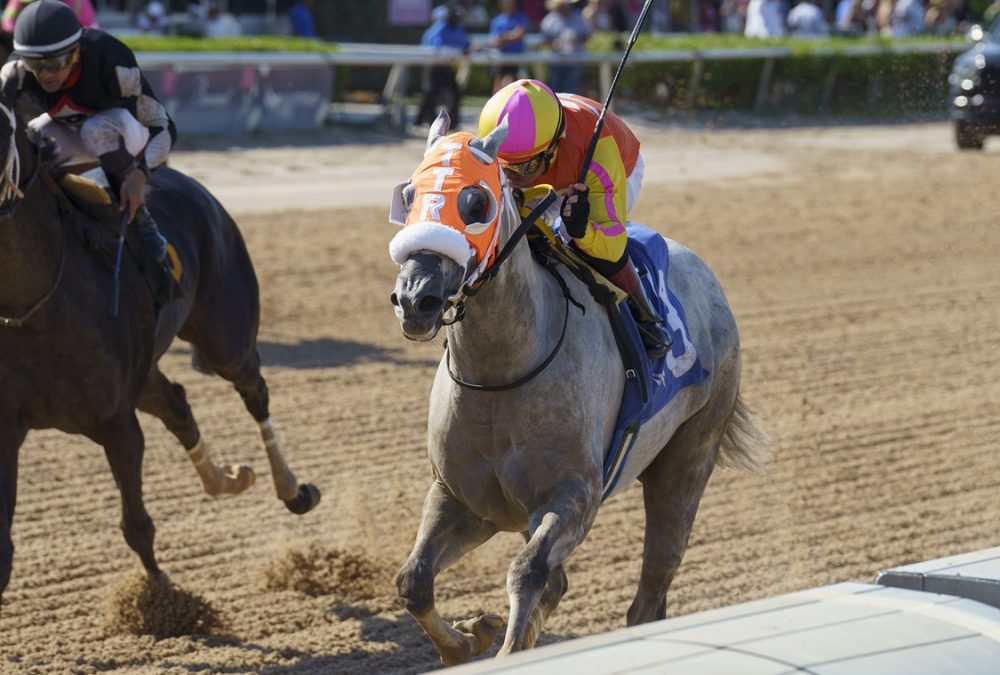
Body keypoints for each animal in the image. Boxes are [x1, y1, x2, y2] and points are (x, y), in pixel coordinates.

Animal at [0, 93, 318, 608]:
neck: (32, 302)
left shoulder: (116, 424)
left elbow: (137, 525)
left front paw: (164, 600)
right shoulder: (9, 425)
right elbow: (4, 553)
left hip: (225, 336)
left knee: (253, 390)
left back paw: (291, 489)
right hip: (145, 368)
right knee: (177, 404)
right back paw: (228, 478)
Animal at [390, 113, 764, 668]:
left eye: (476, 204)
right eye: (409, 194)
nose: (416, 299)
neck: (503, 373)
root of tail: (705, 274)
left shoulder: (576, 497)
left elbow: (527, 572)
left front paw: (499, 644)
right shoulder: (465, 499)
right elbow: (413, 581)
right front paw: (471, 638)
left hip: (688, 462)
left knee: (649, 595)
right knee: (560, 583)